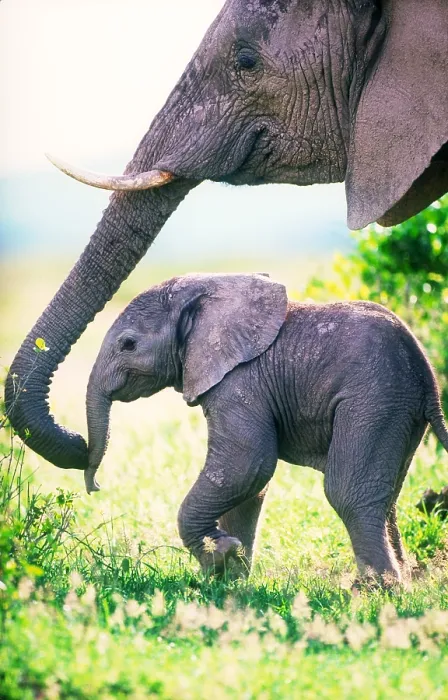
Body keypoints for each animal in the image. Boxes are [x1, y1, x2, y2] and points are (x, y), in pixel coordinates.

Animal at [85, 273, 448, 580]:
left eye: (128, 344)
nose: (95, 487)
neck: (207, 288)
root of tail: (426, 371)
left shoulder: (240, 381)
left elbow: (245, 466)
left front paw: (220, 556)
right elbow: (248, 484)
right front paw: (227, 579)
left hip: (374, 397)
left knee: (347, 491)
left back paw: (376, 590)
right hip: (398, 406)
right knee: (386, 498)